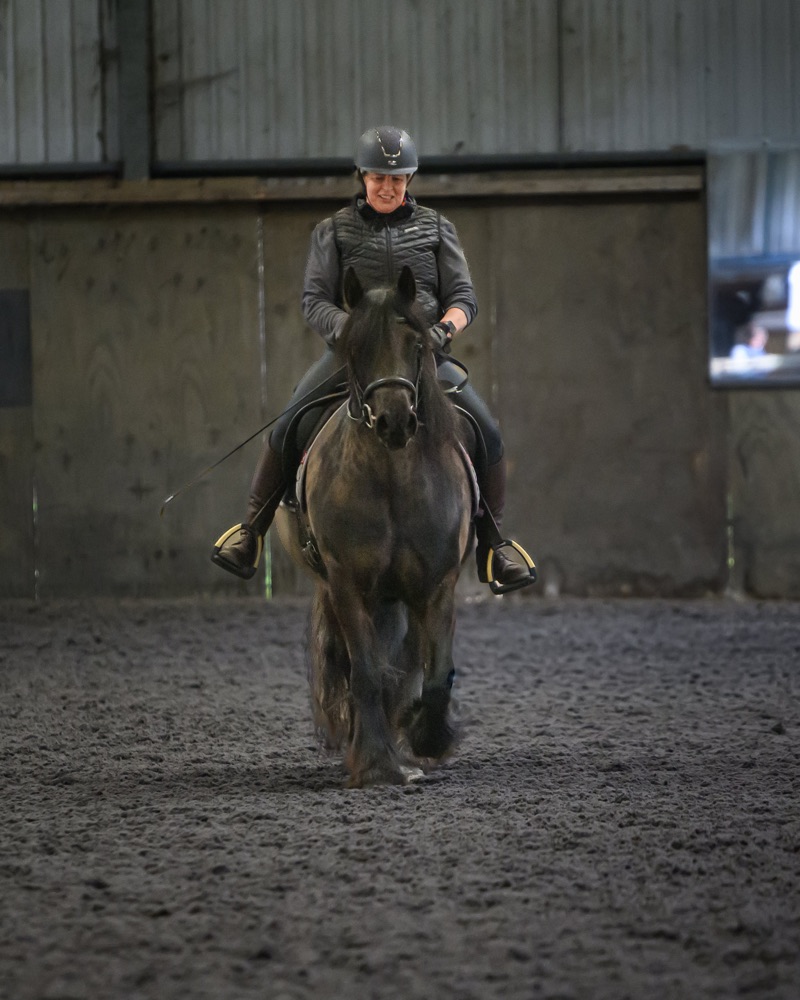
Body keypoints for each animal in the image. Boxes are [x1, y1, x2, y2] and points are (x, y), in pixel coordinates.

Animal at [275, 266, 475, 787]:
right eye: (355, 347)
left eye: (417, 344)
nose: (394, 421)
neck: (391, 480)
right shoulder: (346, 582)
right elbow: (364, 671)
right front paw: (377, 764)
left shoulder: (437, 584)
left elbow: (436, 673)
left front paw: (427, 739)